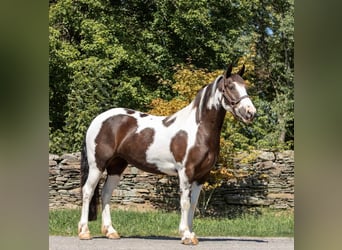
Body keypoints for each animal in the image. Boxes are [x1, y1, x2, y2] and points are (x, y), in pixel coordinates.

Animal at [77, 63, 254, 245]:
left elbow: (194, 203)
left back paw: (111, 231)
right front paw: (185, 235)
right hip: (97, 165)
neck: (198, 129)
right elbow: (185, 203)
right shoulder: (186, 172)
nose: (250, 113)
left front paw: (192, 234)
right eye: (230, 86)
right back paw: (84, 232)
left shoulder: (202, 175)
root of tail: (97, 120)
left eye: (245, 86)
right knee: (87, 191)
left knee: (106, 193)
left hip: (116, 166)